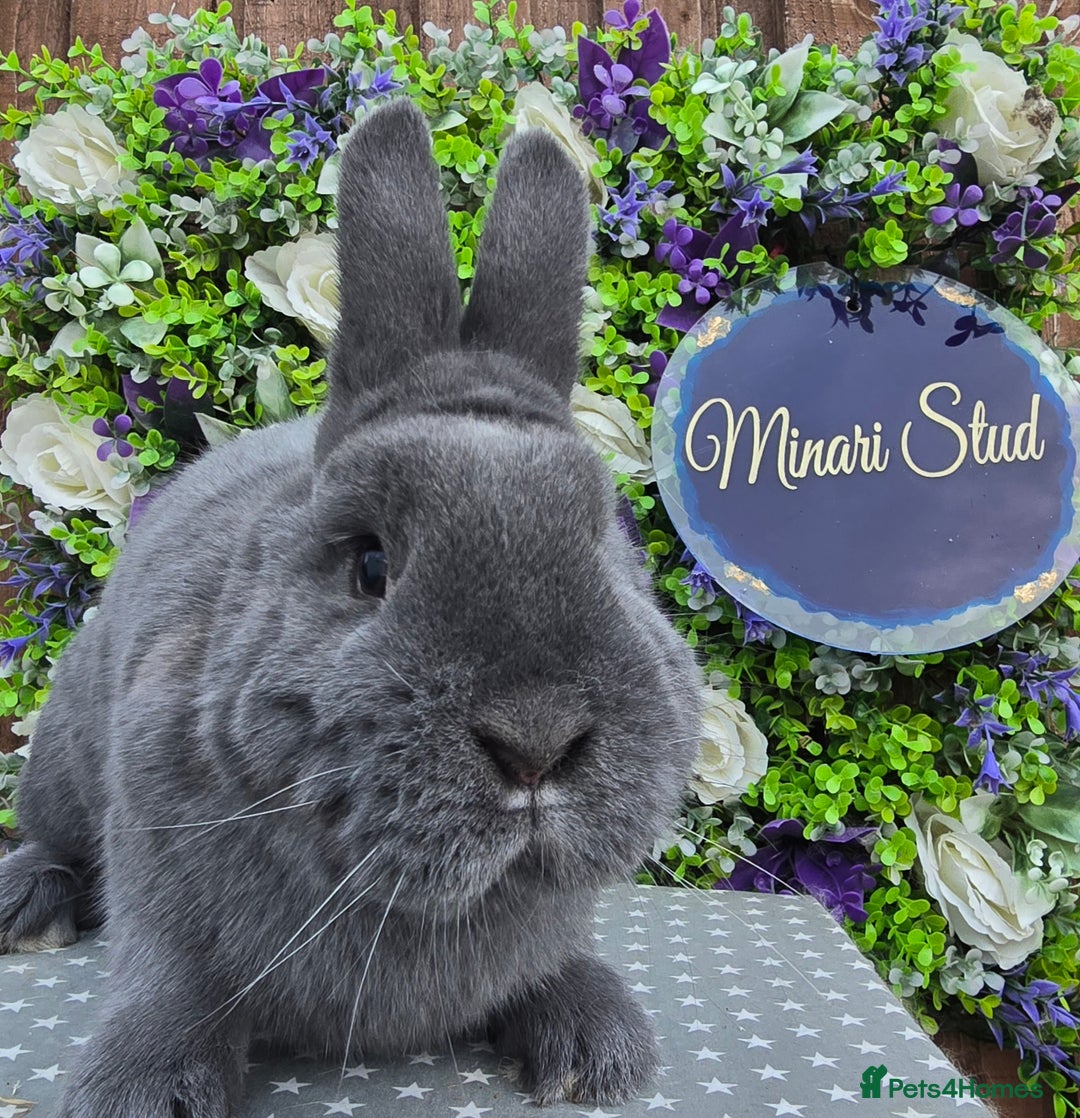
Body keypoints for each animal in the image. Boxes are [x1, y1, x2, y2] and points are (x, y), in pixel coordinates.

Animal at [0, 97, 703, 1117]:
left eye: (607, 540)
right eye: (369, 565)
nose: (536, 740)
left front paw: (592, 1045)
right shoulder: (157, 874)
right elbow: (167, 980)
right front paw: (142, 1087)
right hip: (60, 761)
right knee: (48, 838)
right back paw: (25, 906)